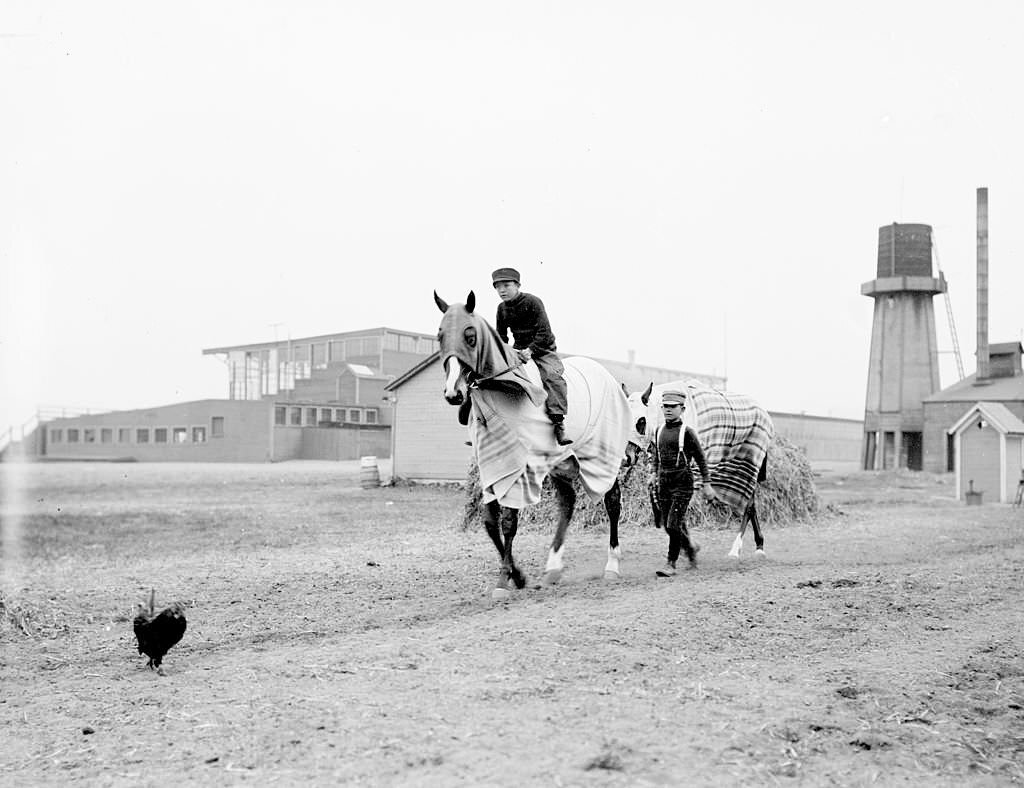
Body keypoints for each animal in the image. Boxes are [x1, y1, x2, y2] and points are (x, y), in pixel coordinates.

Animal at [432, 290, 630, 597]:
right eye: (441, 335)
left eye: (470, 336)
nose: (454, 393)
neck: (503, 389)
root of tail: (608, 378)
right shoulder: (492, 466)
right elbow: (490, 523)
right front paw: (519, 576)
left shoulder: (521, 468)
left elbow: (509, 523)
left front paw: (504, 580)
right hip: (561, 461)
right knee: (568, 503)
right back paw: (553, 568)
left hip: (600, 457)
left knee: (612, 500)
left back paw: (612, 566)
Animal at [626, 376, 770, 556]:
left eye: (641, 420)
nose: (627, 457)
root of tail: (763, 412)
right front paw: (685, 546)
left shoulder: (689, 474)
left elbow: (678, 511)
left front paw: (690, 547)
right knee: (751, 504)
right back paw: (758, 545)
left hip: (749, 465)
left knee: (749, 505)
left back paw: (737, 549)